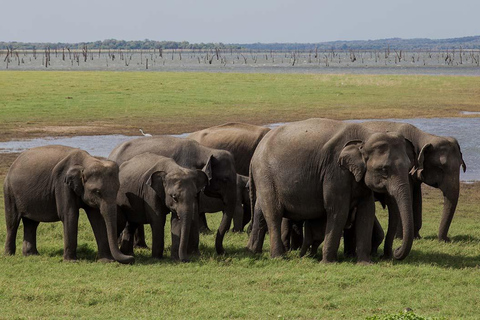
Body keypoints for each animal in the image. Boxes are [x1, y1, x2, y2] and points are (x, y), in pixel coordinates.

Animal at [4, 146, 135, 264]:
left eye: (117, 189)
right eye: (97, 192)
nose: (131, 258)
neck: (86, 162)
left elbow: (96, 218)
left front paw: (106, 261)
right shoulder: (62, 183)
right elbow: (69, 214)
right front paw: (71, 261)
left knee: (31, 223)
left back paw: (31, 255)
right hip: (9, 191)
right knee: (12, 222)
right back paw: (9, 254)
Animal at [108, 135, 237, 255]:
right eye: (225, 180)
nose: (223, 252)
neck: (206, 150)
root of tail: (111, 154)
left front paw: (194, 253)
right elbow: (194, 210)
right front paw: (193, 253)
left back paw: (140, 246)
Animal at [246, 117, 414, 262]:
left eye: (409, 167)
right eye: (383, 169)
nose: (395, 252)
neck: (365, 135)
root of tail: (255, 154)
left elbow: (366, 211)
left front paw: (365, 263)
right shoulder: (335, 171)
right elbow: (338, 210)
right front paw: (328, 262)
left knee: (261, 210)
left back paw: (254, 251)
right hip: (265, 175)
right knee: (273, 213)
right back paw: (279, 257)